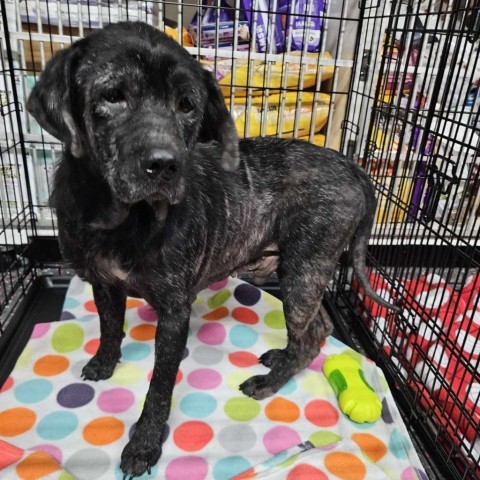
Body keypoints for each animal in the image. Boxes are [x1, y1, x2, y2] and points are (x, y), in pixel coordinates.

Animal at [28, 21, 400, 476]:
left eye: (187, 105)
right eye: (112, 95)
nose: (165, 164)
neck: (121, 218)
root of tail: (352, 166)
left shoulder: (174, 313)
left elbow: (160, 384)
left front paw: (144, 445)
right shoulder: (104, 283)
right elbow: (110, 326)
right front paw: (104, 362)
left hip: (303, 270)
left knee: (312, 333)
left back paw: (270, 382)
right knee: (319, 326)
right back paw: (280, 358)